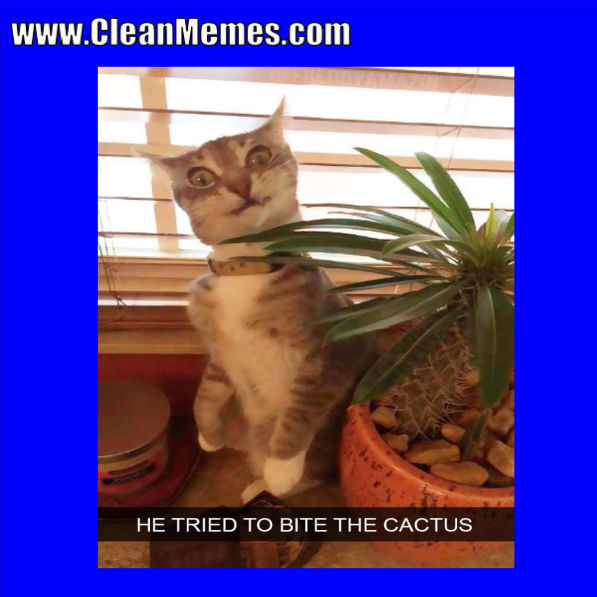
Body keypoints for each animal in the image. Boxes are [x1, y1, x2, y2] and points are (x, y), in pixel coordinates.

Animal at [144, 100, 375, 502]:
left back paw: (262, 485)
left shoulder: (327, 354)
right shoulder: (219, 351)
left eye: (259, 156)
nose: (240, 184)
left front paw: (280, 468)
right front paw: (207, 436)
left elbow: (299, 411)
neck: (247, 268)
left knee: (312, 473)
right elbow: (204, 394)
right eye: (200, 177)